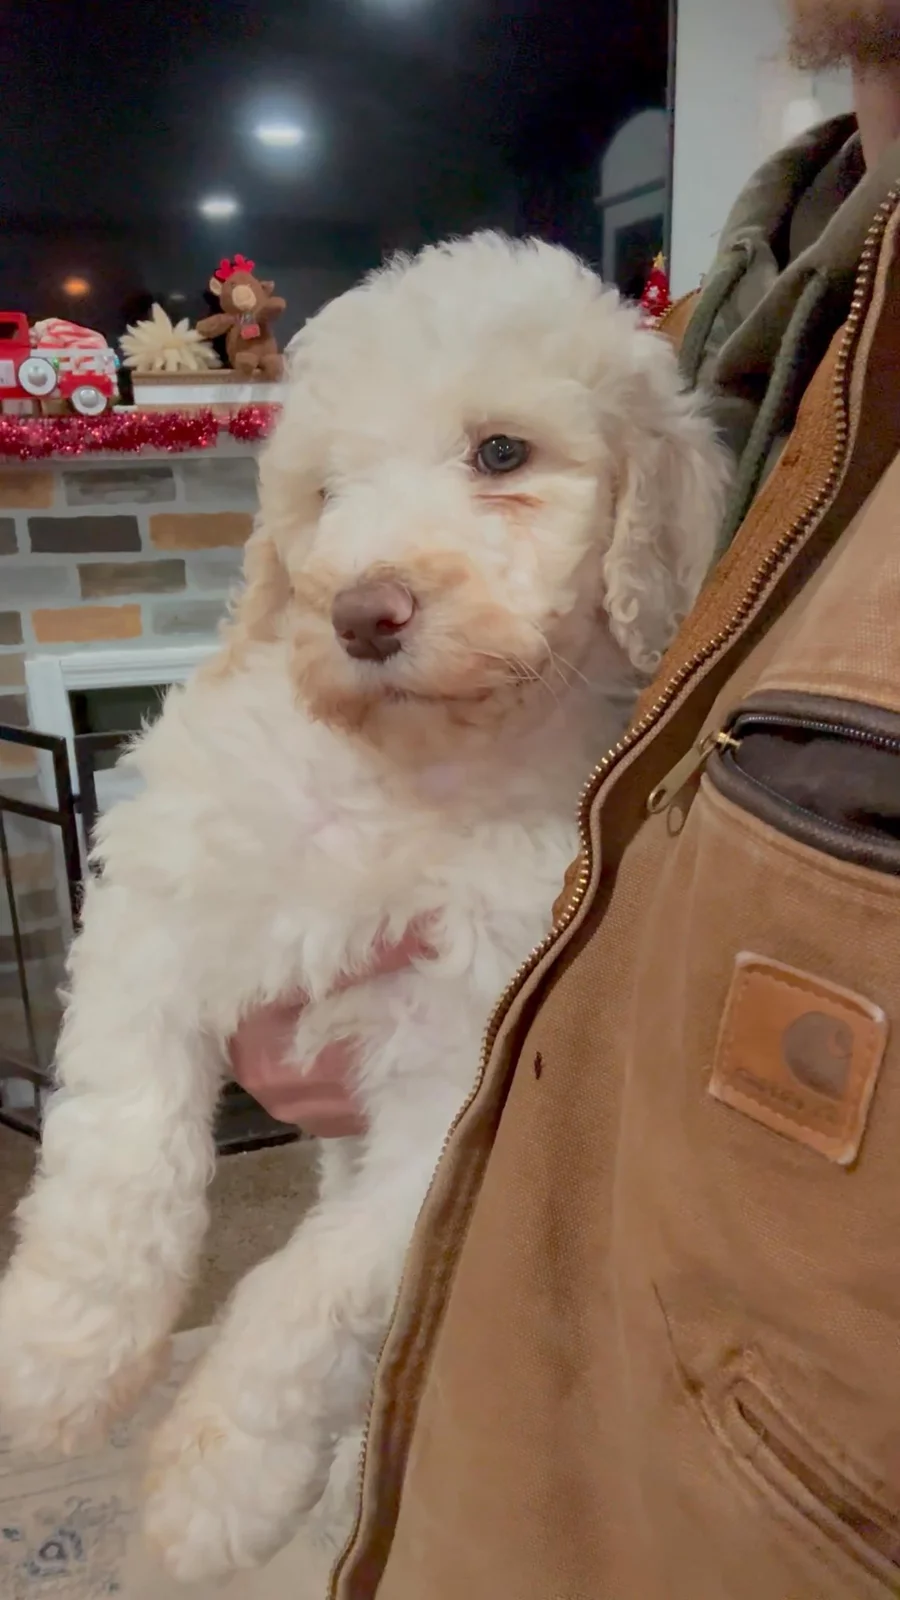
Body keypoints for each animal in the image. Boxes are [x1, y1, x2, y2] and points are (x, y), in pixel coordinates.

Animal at [0, 234, 728, 1589]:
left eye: (502, 453)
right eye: (328, 492)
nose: (361, 614)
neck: (409, 769)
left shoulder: (460, 1081)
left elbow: (317, 1288)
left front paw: (218, 1480)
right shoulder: (157, 918)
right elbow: (123, 1148)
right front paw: (53, 1357)